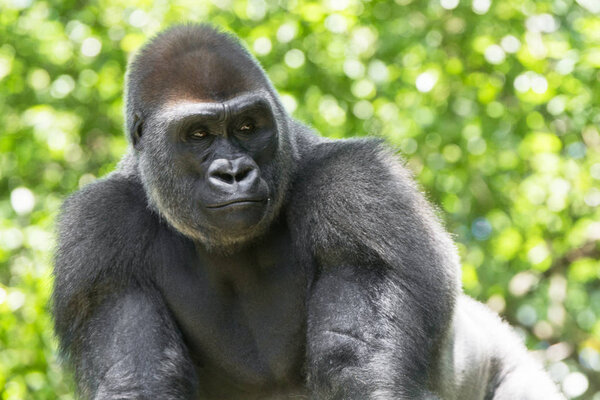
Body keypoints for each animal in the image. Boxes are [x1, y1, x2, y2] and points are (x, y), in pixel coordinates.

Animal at [52, 25, 564, 400]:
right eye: (198, 134)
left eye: (247, 126)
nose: (234, 172)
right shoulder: (99, 235)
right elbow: (136, 381)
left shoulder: (356, 194)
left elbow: (358, 366)